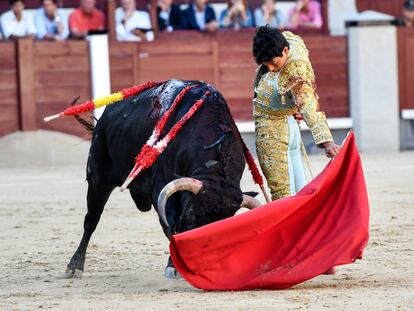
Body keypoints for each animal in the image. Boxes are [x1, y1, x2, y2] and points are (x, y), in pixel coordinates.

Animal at [66, 80, 258, 278]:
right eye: (191, 212)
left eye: (224, 223)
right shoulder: (164, 189)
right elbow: (171, 227)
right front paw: (174, 266)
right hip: (98, 177)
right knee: (91, 220)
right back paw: (74, 266)